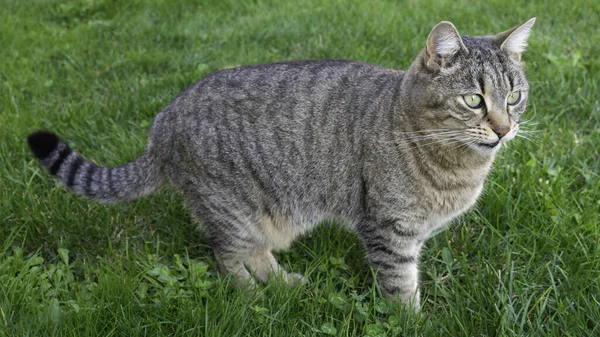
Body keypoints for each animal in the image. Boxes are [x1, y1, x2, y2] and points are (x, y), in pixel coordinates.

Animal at [27, 18, 536, 310]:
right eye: (473, 100)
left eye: (514, 97)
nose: (503, 129)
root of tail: (161, 124)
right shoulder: (388, 229)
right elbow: (400, 284)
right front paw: (410, 321)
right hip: (233, 207)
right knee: (227, 256)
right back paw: (253, 298)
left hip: (272, 214)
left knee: (255, 251)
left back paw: (286, 283)